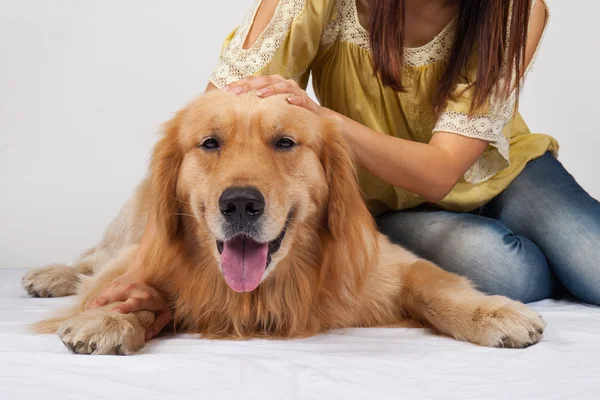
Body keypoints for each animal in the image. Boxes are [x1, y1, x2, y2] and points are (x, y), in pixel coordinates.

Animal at [22, 90, 544, 354]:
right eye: (210, 143)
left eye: (285, 142)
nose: (239, 204)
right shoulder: (143, 260)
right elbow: (123, 288)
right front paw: (110, 317)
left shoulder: (387, 264)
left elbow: (436, 286)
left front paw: (493, 313)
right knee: (92, 259)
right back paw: (50, 274)